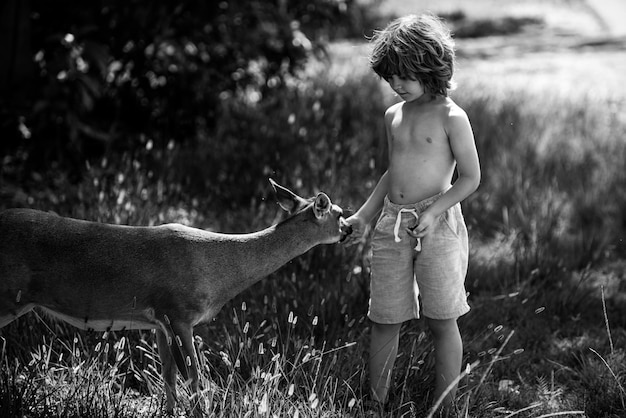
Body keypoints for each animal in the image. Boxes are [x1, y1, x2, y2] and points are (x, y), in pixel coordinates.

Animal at [0, 180, 352, 414]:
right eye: (337, 213)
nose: (349, 229)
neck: (221, 269)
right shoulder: (180, 314)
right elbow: (195, 379)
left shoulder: (159, 321)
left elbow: (168, 377)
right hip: (9, 295)